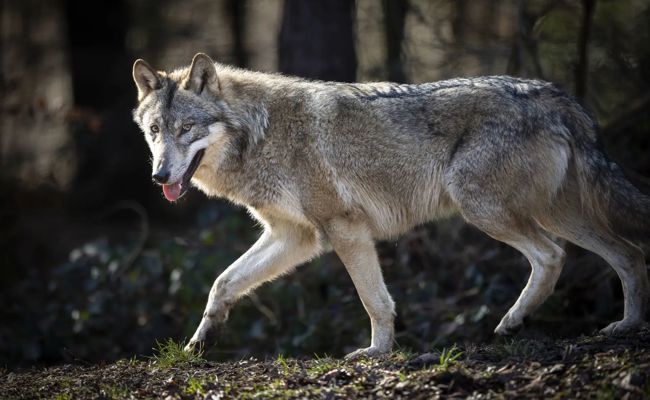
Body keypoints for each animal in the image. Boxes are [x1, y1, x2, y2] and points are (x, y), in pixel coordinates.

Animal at [132, 53, 650, 358]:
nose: (159, 176)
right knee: (628, 254)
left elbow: (375, 300)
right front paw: (200, 342)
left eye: (186, 130)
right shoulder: (296, 237)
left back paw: (513, 321)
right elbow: (223, 283)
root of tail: (557, 95)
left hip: (484, 209)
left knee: (554, 255)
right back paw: (626, 325)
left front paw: (377, 353)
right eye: (155, 131)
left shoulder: (343, 230)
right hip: (556, 213)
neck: (260, 134)